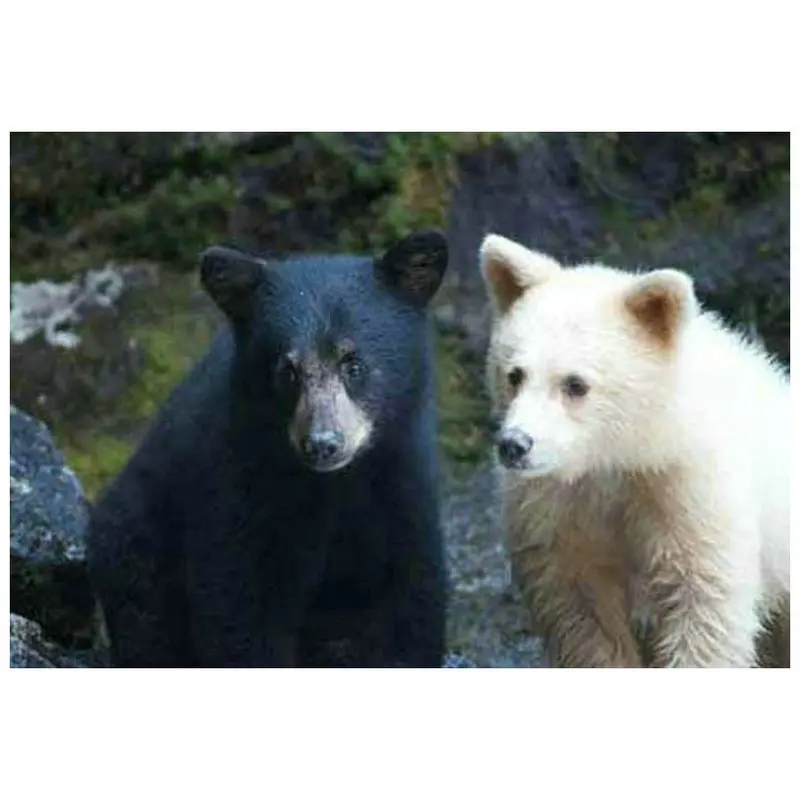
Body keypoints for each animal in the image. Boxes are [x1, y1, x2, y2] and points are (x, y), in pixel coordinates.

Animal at [88, 230, 449, 667]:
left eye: (353, 363)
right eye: (287, 370)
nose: (323, 444)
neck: (335, 487)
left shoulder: (403, 486)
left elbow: (409, 608)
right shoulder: (239, 483)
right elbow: (239, 604)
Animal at [478, 233, 790, 668]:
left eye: (575, 383)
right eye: (514, 374)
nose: (515, 444)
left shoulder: (688, 490)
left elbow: (703, 597)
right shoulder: (556, 511)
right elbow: (584, 614)